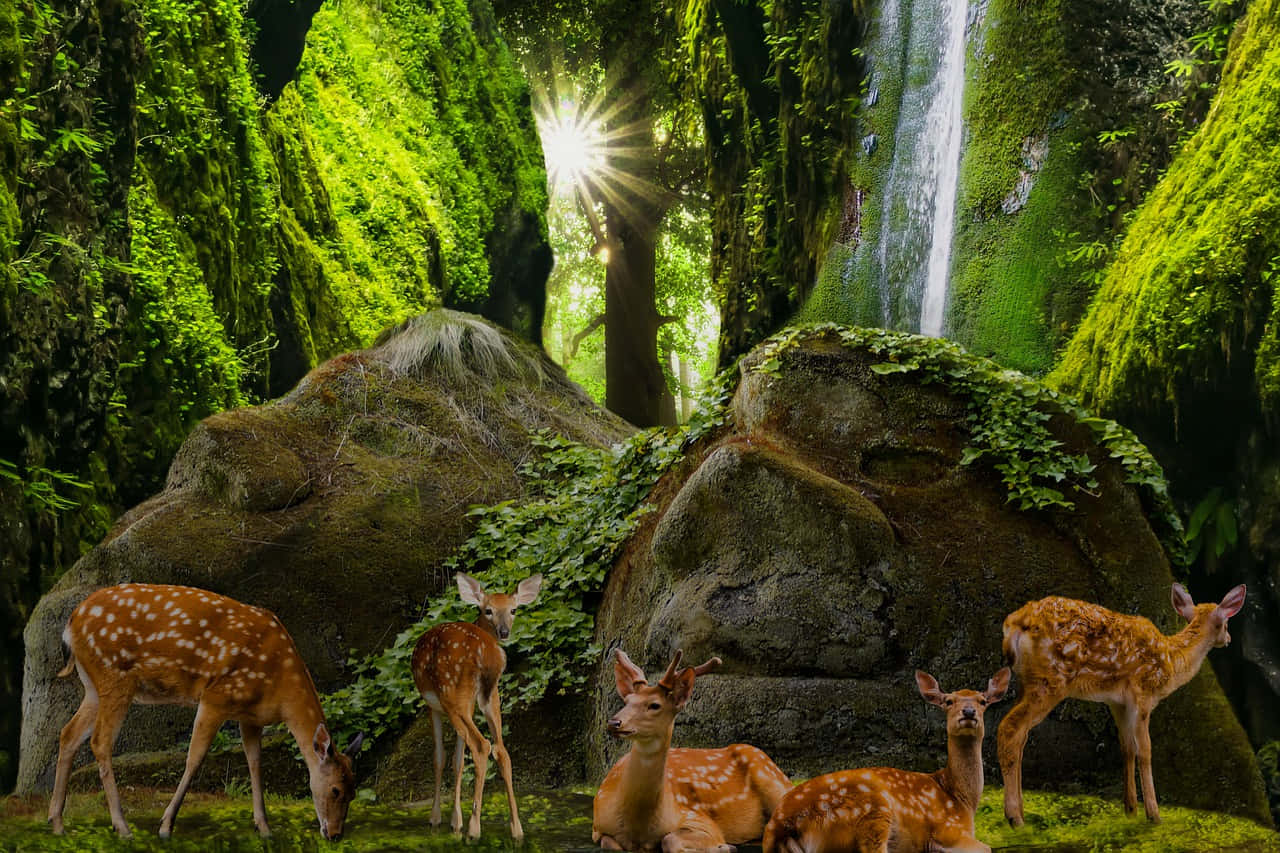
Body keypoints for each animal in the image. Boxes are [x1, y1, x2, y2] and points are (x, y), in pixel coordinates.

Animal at [47, 582, 362, 840]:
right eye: (335, 789)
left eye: (353, 791)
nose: (335, 835)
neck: (281, 687)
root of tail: (70, 625)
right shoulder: (217, 695)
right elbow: (194, 757)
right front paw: (166, 826)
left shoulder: (251, 716)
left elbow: (254, 763)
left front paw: (263, 827)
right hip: (115, 676)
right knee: (100, 741)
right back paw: (122, 827)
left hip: (93, 686)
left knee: (68, 734)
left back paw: (57, 822)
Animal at [410, 571, 542, 841]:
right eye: (488, 610)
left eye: (514, 610)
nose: (504, 631)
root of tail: (488, 654)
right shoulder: (470, 704)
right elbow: (458, 760)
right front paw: (455, 820)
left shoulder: (433, 707)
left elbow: (440, 757)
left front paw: (438, 818)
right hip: (491, 697)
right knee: (500, 749)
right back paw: (516, 828)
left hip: (451, 695)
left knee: (482, 746)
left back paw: (474, 828)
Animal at [593, 647, 793, 852]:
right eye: (627, 701)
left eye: (655, 705)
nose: (614, 722)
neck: (638, 830)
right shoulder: (597, 827)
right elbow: (610, 844)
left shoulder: (697, 818)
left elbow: (670, 840)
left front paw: (724, 847)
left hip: (773, 780)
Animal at [763, 667, 1010, 853]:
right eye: (949, 701)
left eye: (982, 701)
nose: (968, 712)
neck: (961, 798)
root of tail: (780, 828)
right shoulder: (947, 829)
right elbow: (987, 847)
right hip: (873, 814)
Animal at [997, 582, 1246, 826]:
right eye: (1226, 623)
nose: (1229, 639)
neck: (1171, 661)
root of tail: (1014, 624)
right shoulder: (1144, 692)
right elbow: (1145, 749)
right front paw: (1153, 814)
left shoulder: (1117, 702)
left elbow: (1127, 748)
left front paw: (1131, 810)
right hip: (1050, 680)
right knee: (1009, 728)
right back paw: (1014, 817)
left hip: (1027, 682)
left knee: (1020, 735)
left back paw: (1021, 811)